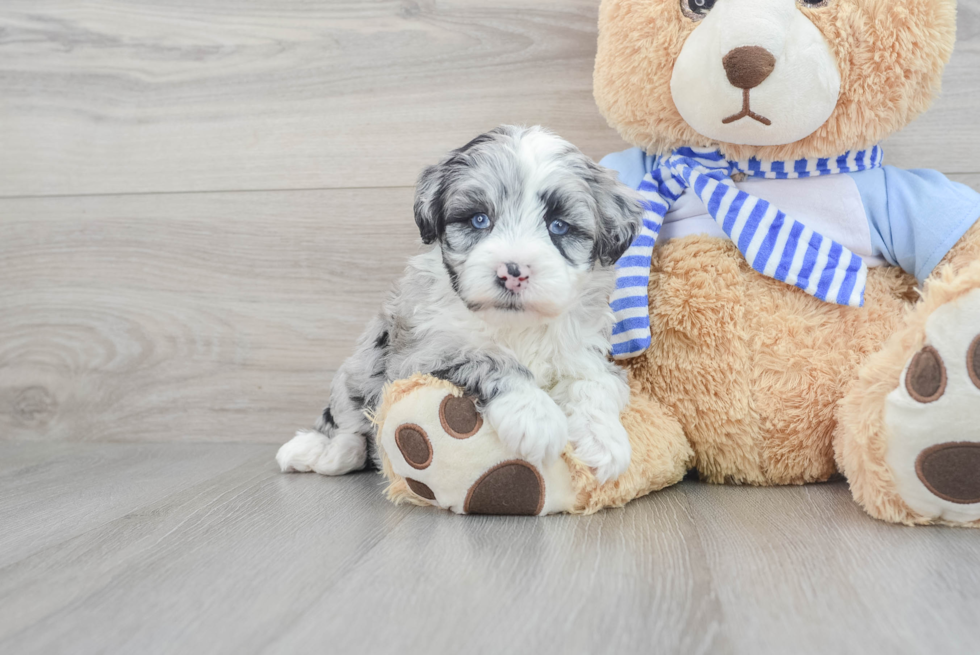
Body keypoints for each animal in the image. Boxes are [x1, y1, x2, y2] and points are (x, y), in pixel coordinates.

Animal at [278, 127, 644, 482]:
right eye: (479, 220)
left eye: (558, 225)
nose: (512, 272)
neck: (515, 326)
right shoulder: (420, 356)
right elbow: (484, 356)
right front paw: (534, 414)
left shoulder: (585, 351)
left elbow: (597, 383)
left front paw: (603, 441)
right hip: (357, 369)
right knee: (346, 425)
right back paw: (319, 451)